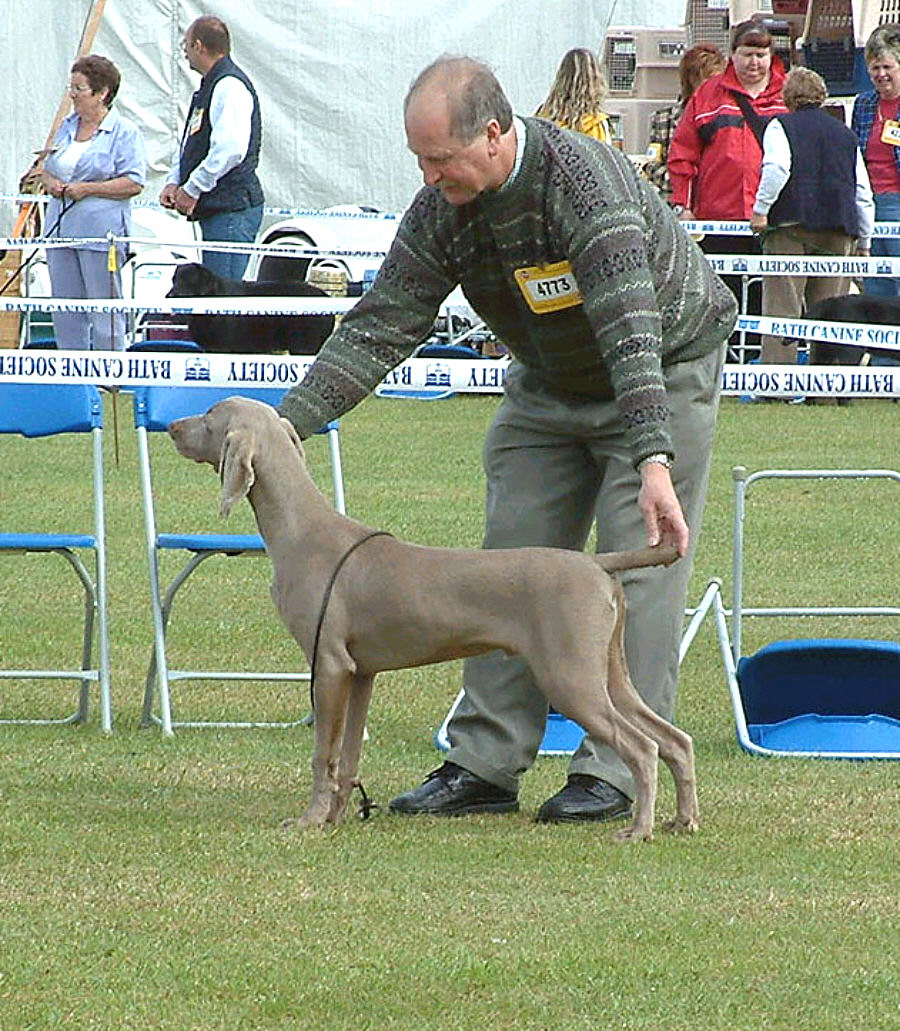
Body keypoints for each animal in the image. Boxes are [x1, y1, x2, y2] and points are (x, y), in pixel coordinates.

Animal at [170, 397, 701, 841]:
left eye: (210, 416)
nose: (172, 425)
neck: (303, 530)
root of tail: (596, 563)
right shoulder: (360, 672)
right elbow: (348, 756)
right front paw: (339, 816)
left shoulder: (329, 665)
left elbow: (324, 753)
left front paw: (310, 820)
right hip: (607, 670)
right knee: (674, 739)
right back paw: (684, 820)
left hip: (569, 676)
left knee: (642, 748)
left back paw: (639, 829)